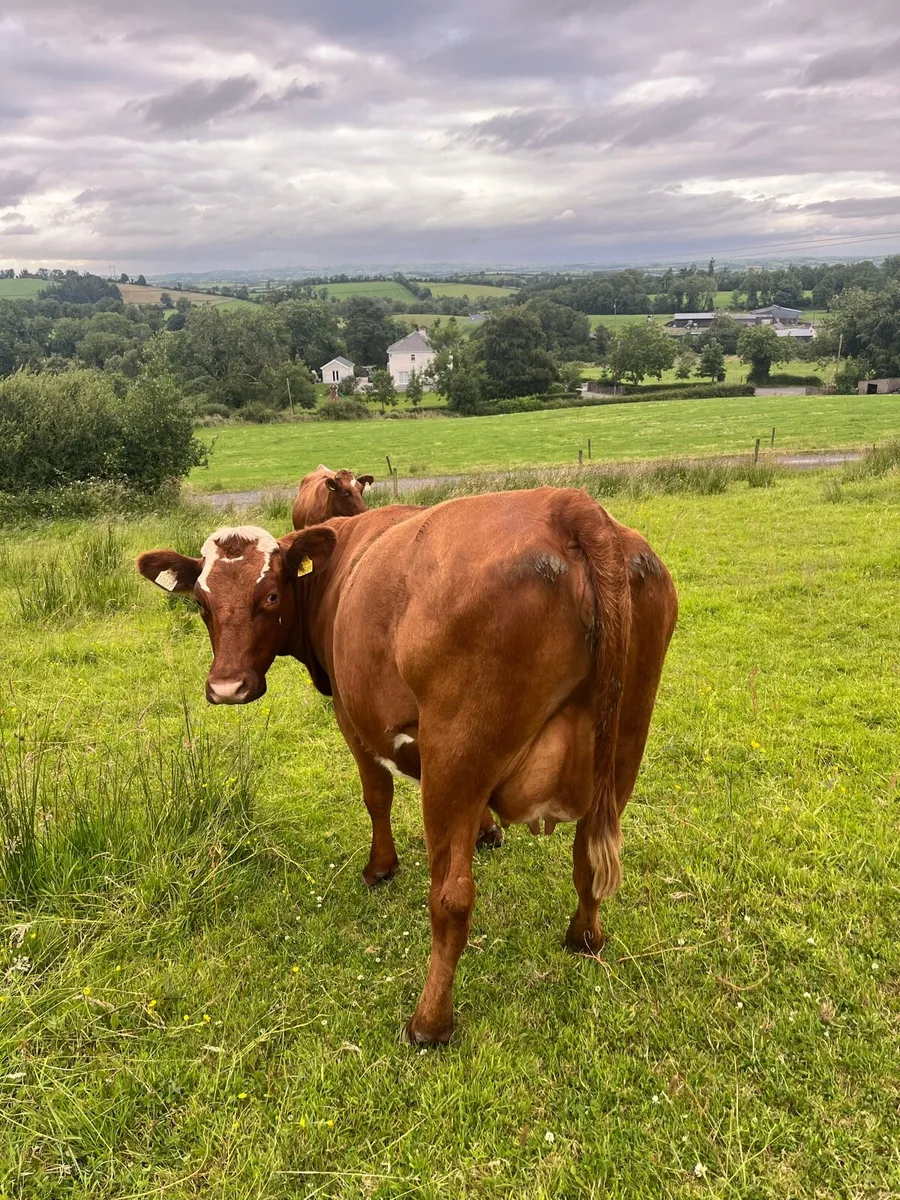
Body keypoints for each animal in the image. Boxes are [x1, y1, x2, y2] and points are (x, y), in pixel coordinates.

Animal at [137, 488, 677, 1045]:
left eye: (269, 597)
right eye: (201, 604)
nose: (227, 687)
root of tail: (566, 503)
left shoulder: (353, 718)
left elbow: (376, 796)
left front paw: (380, 868)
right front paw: (487, 831)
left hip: (453, 755)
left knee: (452, 899)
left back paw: (430, 1022)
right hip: (623, 748)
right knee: (590, 860)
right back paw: (585, 937)